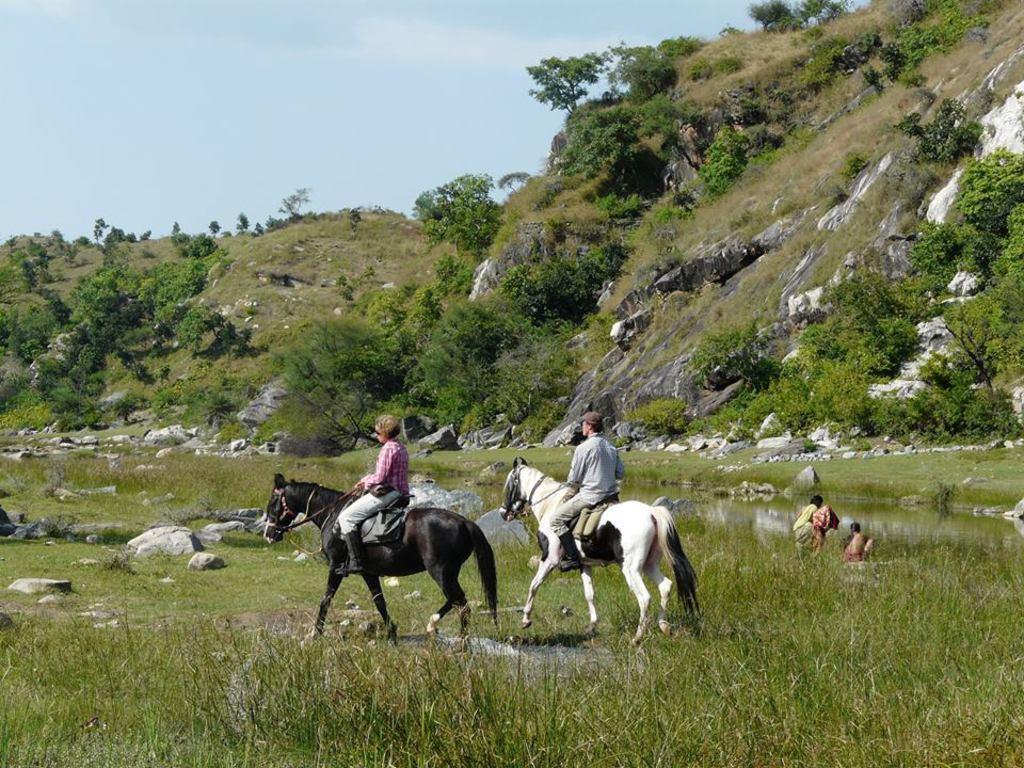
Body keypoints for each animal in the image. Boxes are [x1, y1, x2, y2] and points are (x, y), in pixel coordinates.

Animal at [264, 475, 495, 643]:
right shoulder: (369, 573)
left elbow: (325, 599)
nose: (268, 534)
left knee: (461, 602)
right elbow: (379, 602)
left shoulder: (336, 567)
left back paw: (455, 636)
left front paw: (315, 633)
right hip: (448, 572)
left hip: (440, 571)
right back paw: (439, 627)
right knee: (457, 600)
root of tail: (464, 521)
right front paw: (391, 633)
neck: (333, 515)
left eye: (273, 502)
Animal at [495, 456, 696, 643]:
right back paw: (664, 627)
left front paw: (525, 619)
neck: (551, 505)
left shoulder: (549, 559)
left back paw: (637, 638)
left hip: (630, 569)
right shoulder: (584, 564)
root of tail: (652, 512)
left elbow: (534, 585)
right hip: (649, 564)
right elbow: (589, 594)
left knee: (644, 598)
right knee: (665, 586)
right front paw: (592, 626)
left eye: (509, 484)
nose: (503, 513)